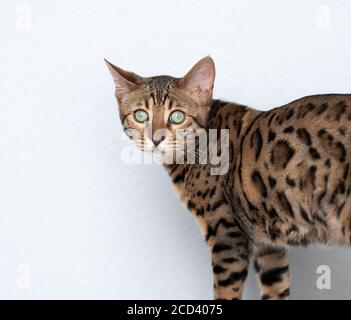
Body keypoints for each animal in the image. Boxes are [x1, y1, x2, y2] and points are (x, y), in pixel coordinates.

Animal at [106, 57, 351, 300]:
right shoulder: (267, 245)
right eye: (140, 115)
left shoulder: (227, 237)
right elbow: (276, 287)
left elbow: (225, 292)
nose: (156, 138)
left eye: (177, 116)